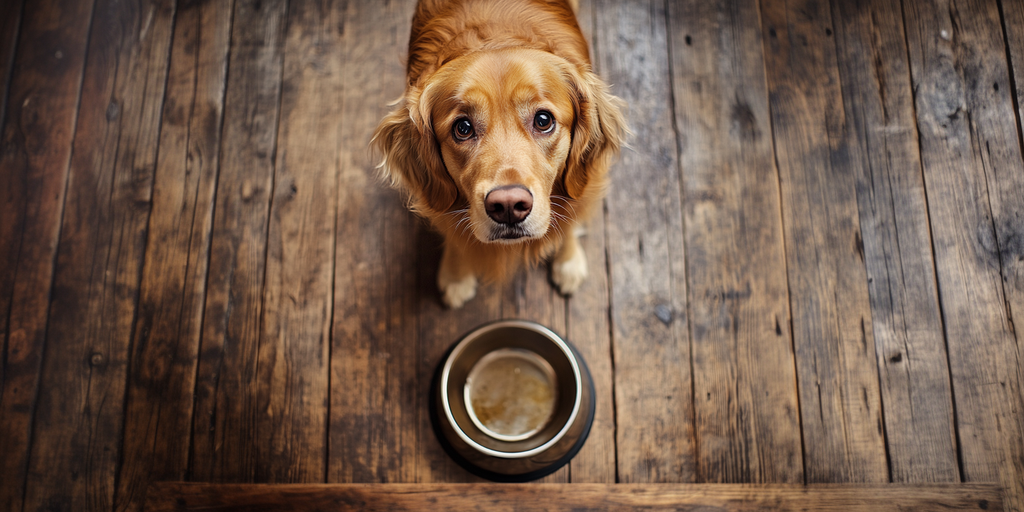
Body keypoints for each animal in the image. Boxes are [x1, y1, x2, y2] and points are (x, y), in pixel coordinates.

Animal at [374, 0, 622, 307]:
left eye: (543, 120)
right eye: (463, 128)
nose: (508, 207)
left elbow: (571, 221)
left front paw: (569, 262)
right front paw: (456, 276)